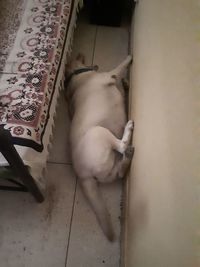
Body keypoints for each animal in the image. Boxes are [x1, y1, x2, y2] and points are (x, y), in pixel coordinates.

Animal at [65, 53, 134, 242]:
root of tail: (83, 175)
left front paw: (126, 84)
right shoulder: (109, 75)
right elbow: (120, 66)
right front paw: (129, 58)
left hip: (108, 171)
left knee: (119, 172)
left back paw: (128, 158)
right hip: (98, 132)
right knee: (121, 145)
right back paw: (128, 129)